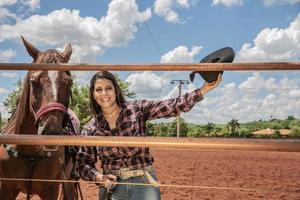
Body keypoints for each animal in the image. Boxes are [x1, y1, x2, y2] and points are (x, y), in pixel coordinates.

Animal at [0, 36, 79, 199]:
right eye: (33, 81)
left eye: (69, 82)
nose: (51, 133)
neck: (30, 153)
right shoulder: (6, 187)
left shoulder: (51, 189)